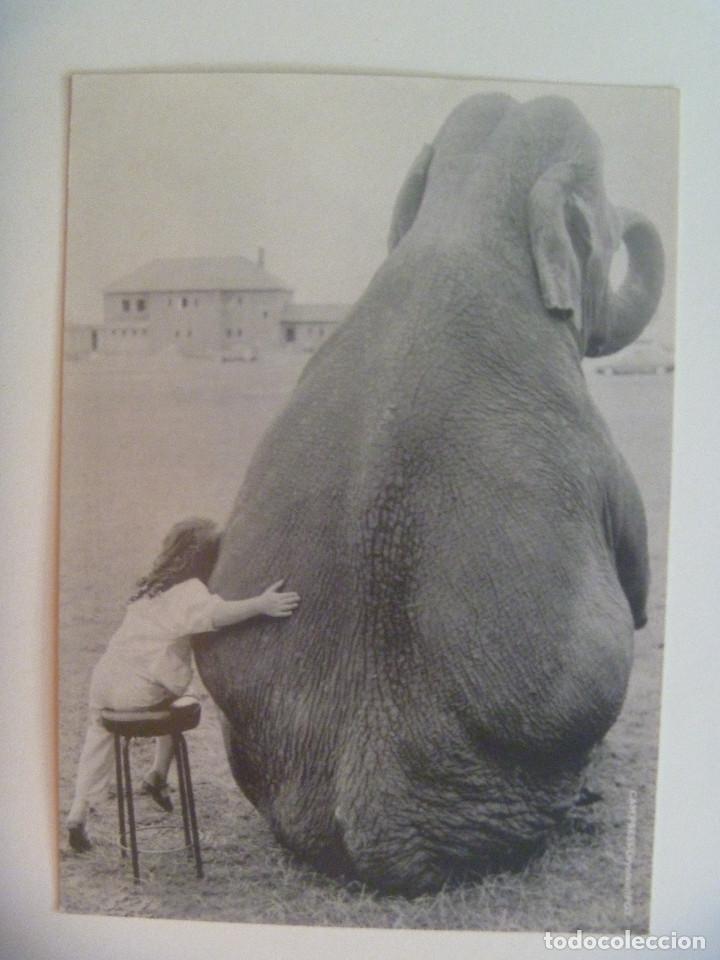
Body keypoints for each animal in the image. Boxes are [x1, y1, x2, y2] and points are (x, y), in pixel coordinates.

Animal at [195, 93, 664, 895]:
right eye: (603, 225)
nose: (635, 216)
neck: (465, 212)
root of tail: (380, 820)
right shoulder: (598, 444)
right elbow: (635, 593)